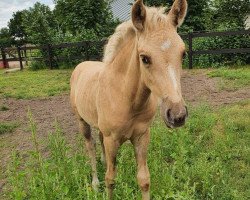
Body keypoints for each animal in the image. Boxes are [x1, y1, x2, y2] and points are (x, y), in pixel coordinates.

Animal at [70, 0, 188, 198]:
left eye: (183, 53)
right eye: (145, 58)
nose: (177, 115)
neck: (128, 99)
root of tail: (81, 65)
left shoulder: (141, 136)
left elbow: (144, 179)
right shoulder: (112, 140)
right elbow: (111, 179)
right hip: (82, 122)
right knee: (90, 146)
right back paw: (94, 183)